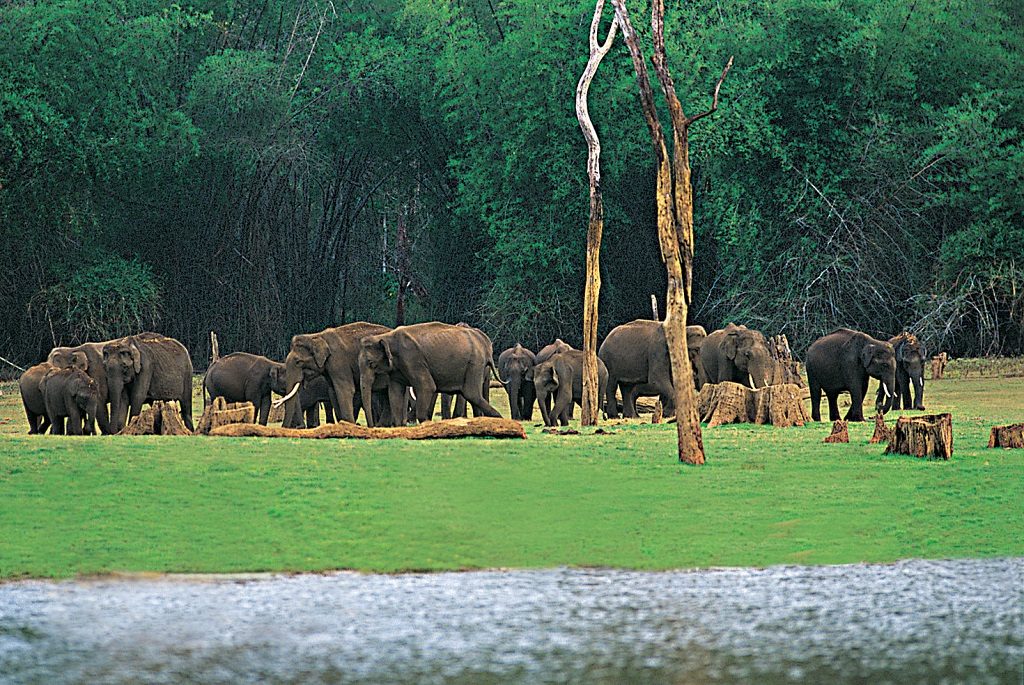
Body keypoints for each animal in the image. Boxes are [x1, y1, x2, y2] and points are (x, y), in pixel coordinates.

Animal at [360, 321, 503, 427]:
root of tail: (486, 344)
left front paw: (426, 424)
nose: (372, 426)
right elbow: (395, 392)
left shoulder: (413, 359)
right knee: (473, 396)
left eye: (371, 363)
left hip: (474, 364)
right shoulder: (396, 368)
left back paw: (500, 420)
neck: (387, 336)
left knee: (472, 394)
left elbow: (427, 387)